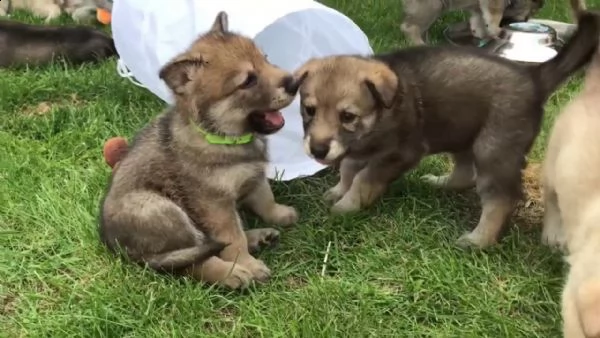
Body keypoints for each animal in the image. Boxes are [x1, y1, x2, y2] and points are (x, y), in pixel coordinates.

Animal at [102, 11, 304, 290]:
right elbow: (233, 238)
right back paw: (232, 273)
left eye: (266, 59)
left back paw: (258, 237)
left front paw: (279, 214)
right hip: (161, 209)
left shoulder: (254, 174)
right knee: (193, 261)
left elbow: (265, 198)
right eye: (248, 81)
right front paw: (247, 264)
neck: (222, 136)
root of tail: (118, 247)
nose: (295, 82)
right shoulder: (215, 205)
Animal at [294, 11, 600, 248]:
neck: (381, 114)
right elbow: (348, 170)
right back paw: (440, 184)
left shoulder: (399, 154)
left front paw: (347, 206)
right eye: (309, 110)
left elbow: (363, 179)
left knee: (501, 199)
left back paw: (479, 240)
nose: (317, 150)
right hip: (461, 132)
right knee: (465, 174)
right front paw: (338, 191)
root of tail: (533, 77)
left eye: (347, 116)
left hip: (493, 150)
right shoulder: (359, 150)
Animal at [400, 0, 548, 45]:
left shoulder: (479, 8)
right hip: (432, 6)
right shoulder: (495, 3)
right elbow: (494, 14)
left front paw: (482, 35)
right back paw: (418, 43)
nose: (524, 21)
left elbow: (479, 19)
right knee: (410, 27)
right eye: (526, 17)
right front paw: (495, 30)